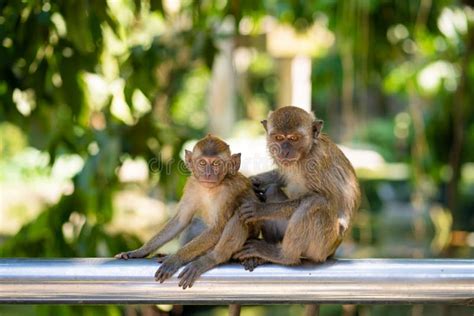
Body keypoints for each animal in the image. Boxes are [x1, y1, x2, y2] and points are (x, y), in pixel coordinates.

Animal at [116, 134, 258, 288]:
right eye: (202, 163)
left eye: (216, 164)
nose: (208, 174)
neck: (211, 189)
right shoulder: (192, 185)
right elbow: (181, 220)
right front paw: (140, 251)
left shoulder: (228, 192)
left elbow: (217, 228)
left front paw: (176, 259)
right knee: (195, 222)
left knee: (239, 215)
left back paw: (211, 258)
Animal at [233, 105, 360, 266]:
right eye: (279, 138)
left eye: (294, 138)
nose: (285, 151)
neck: (306, 154)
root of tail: (333, 251)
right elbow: (283, 177)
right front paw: (254, 180)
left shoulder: (316, 163)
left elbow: (324, 197)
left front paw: (260, 209)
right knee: (273, 190)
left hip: (322, 247)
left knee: (315, 202)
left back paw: (284, 256)